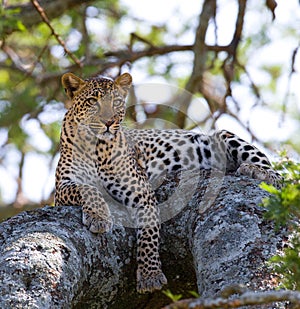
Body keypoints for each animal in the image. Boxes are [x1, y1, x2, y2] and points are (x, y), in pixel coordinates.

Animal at [55, 71, 282, 292]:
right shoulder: (62, 188)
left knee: (278, 176)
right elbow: (86, 188)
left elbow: (149, 234)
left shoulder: (141, 191)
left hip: (223, 136)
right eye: (93, 101)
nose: (109, 122)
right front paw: (99, 216)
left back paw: (256, 171)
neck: (94, 145)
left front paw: (150, 275)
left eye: (117, 102)